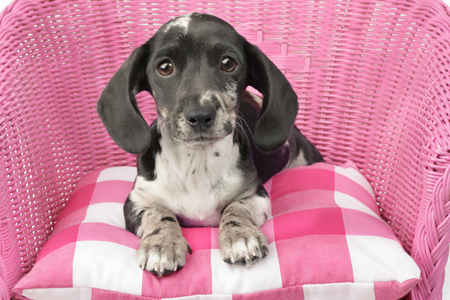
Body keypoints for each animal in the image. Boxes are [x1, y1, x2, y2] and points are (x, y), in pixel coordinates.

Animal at [98, 13, 324, 276]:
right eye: (165, 67)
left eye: (228, 63)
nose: (200, 115)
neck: (197, 163)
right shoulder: (137, 201)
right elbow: (159, 213)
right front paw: (162, 244)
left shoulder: (255, 195)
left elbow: (235, 209)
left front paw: (240, 236)